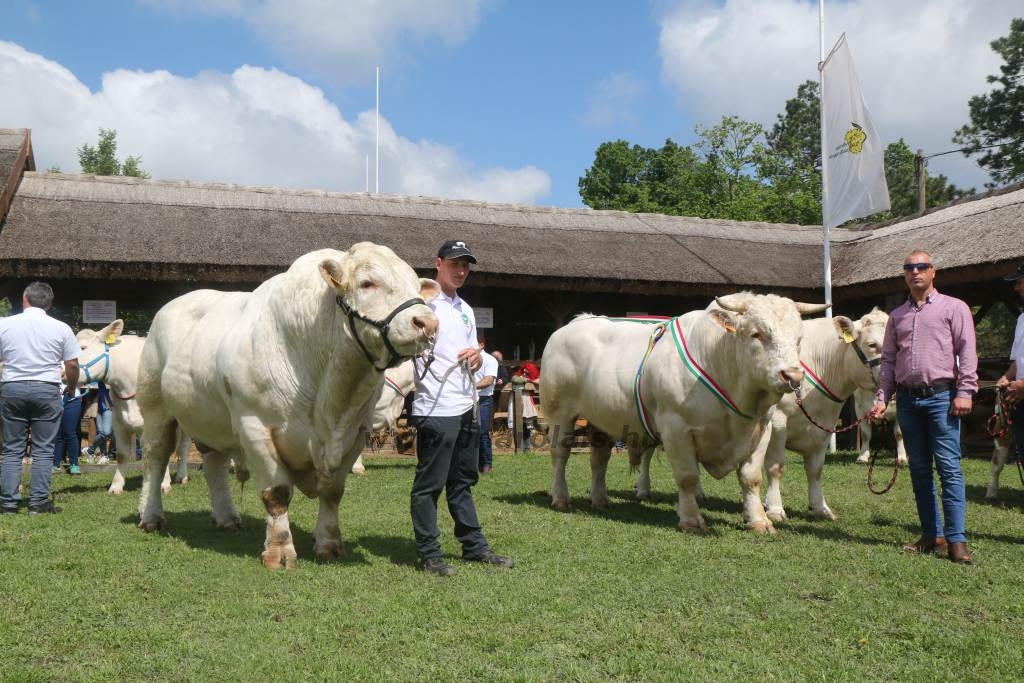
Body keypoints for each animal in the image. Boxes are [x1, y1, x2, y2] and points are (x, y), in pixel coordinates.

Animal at [76, 323, 191, 493]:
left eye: (83, 347)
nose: (62, 372)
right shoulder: (118, 423)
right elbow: (123, 455)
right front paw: (116, 486)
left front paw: (163, 484)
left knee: (184, 446)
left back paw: (182, 476)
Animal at [137, 242, 440, 569]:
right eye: (367, 283)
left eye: (416, 286)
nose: (428, 323)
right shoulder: (255, 427)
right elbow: (277, 493)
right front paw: (279, 553)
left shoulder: (356, 432)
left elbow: (333, 493)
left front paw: (329, 545)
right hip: (155, 408)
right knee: (155, 457)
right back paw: (150, 516)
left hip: (209, 419)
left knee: (215, 464)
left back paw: (227, 517)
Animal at [540, 294, 827, 532]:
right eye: (757, 334)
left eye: (799, 339)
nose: (792, 376)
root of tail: (576, 322)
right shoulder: (675, 428)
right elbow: (688, 477)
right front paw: (691, 520)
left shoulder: (761, 429)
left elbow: (751, 478)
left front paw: (759, 521)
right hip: (560, 414)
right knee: (560, 456)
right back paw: (561, 498)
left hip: (600, 421)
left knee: (599, 460)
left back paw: (600, 500)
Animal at [761, 311, 888, 524]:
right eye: (872, 344)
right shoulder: (777, 420)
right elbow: (775, 466)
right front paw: (775, 509)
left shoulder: (824, 426)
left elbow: (815, 470)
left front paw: (821, 508)